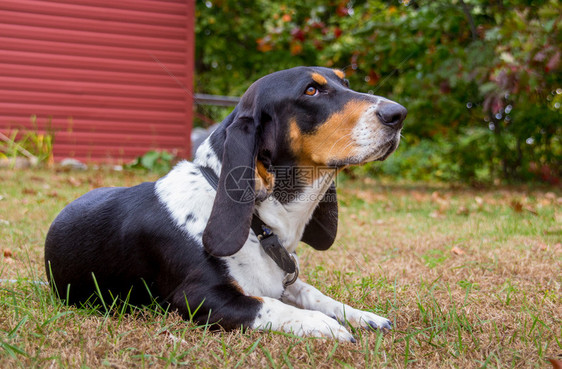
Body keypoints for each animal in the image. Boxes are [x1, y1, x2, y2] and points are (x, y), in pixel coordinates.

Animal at [43, 64, 402, 340]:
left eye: (346, 83)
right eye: (311, 91)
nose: (399, 114)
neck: (259, 225)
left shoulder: (286, 282)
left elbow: (313, 293)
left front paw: (361, 315)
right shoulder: (202, 298)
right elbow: (269, 305)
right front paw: (324, 325)